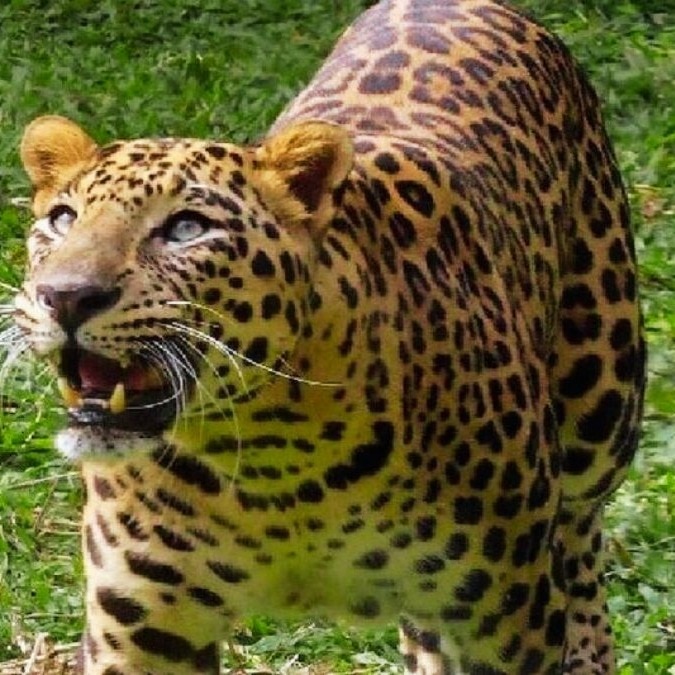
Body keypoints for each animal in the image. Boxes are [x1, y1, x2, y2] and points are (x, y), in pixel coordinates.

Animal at [12, 0, 645, 673]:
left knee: (581, 544)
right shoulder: (142, 628)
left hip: (600, 415)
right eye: (62, 219)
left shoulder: (499, 615)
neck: (277, 462)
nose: (67, 296)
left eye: (186, 228)